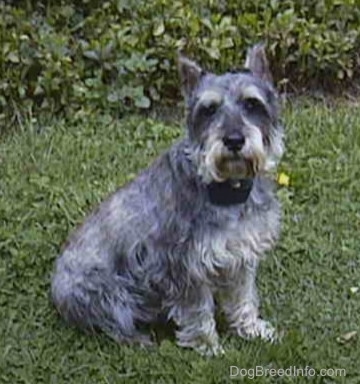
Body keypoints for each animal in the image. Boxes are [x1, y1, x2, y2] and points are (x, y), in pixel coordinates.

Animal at [51, 43, 284, 356]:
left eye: (251, 104)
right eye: (209, 110)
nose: (234, 140)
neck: (225, 189)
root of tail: (55, 288)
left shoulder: (241, 254)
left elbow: (243, 297)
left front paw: (252, 329)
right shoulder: (184, 266)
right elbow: (197, 310)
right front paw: (207, 346)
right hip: (107, 293)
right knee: (112, 326)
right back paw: (140, 340)